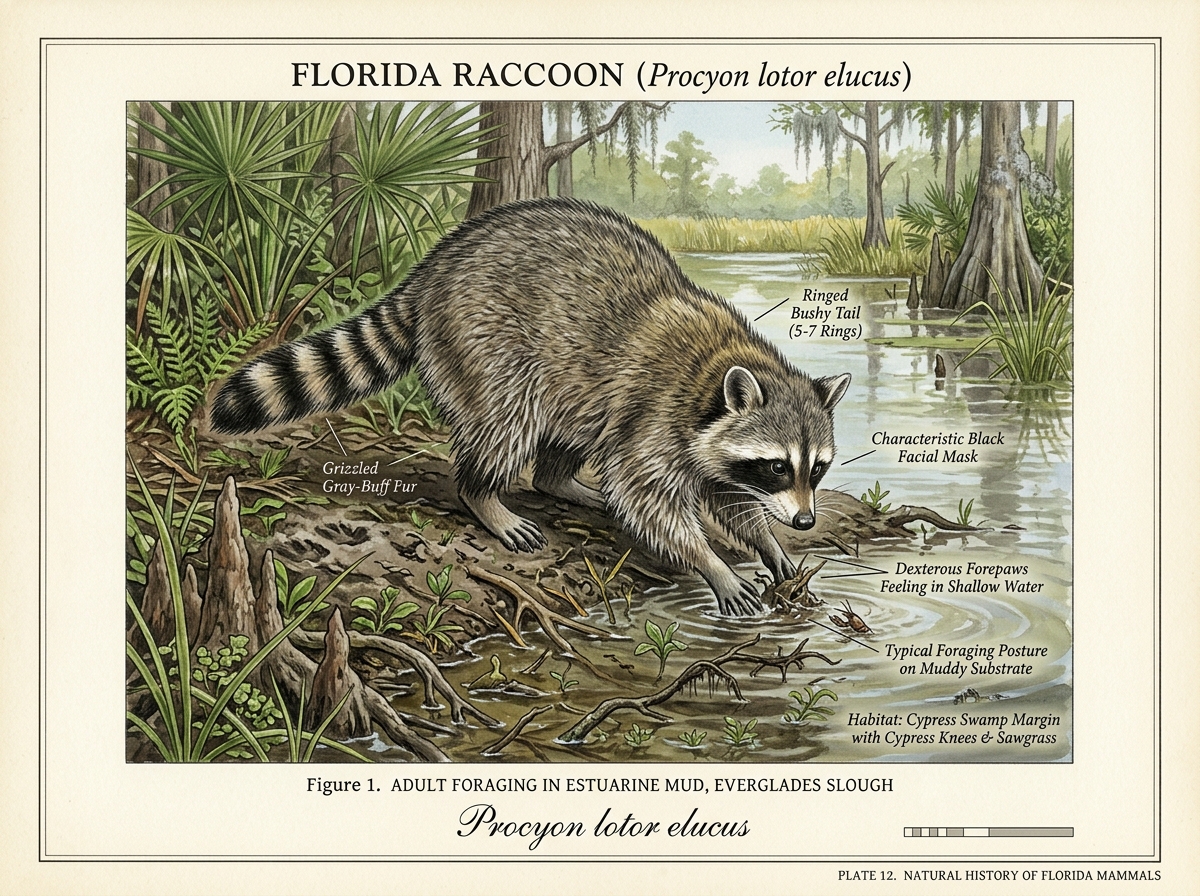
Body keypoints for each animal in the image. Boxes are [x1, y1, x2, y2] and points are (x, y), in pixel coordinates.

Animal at [211, 199, 850, 616]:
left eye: (816, 469)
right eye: (777, 466)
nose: (805, 521)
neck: (720, 364)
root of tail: (433, 269)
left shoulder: (704, 439)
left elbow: (726, 495)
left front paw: (767, 545)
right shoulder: (656, 413)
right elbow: (649, 497)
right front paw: (711, 562)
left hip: (569, 381)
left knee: (569, 431)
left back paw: (558, 480)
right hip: (486, 339)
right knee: (505, 419)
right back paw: (484, 495)